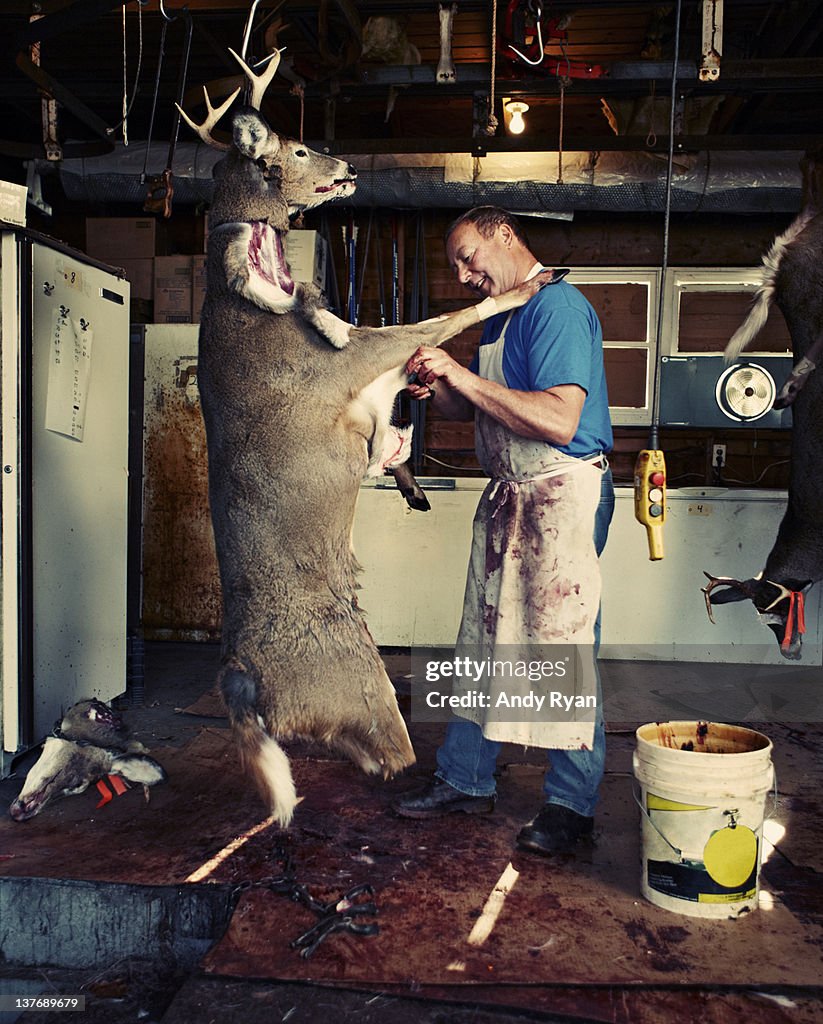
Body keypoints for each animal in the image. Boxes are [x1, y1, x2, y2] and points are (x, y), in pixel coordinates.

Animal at [178, 49, 552, 823]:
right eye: (296, 148)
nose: (349, 165)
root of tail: (239, 676)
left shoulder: (372, 392)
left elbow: (402, 418)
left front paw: (413, 488)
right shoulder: (349, 360)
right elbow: (440, 320)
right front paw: (526, 284)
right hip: (363, 691)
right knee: (388, 753)